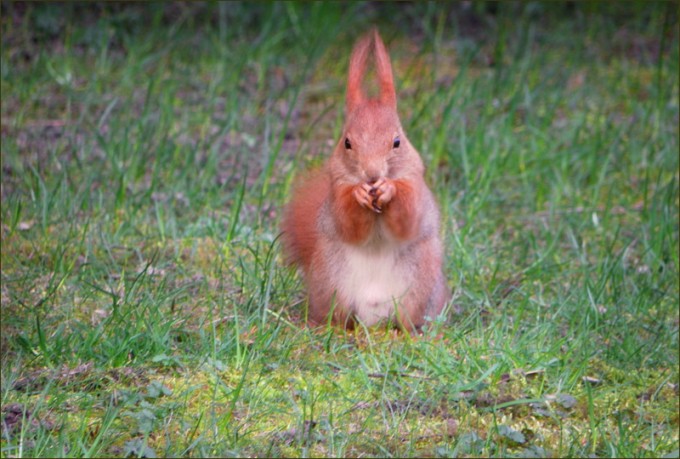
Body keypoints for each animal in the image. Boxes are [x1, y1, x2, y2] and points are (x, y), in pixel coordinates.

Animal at [281, 29, 450, 333]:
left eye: (397, 141)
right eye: (347, 142)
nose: (372, 175)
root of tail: (374, 320)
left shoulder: (416, 187)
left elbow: (407, 220)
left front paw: (389, 188)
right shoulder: (336, 192)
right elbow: (350, 225)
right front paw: (359, 194)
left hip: (419, 286)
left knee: (408, 321)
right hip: (333, 285)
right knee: (340, 319)